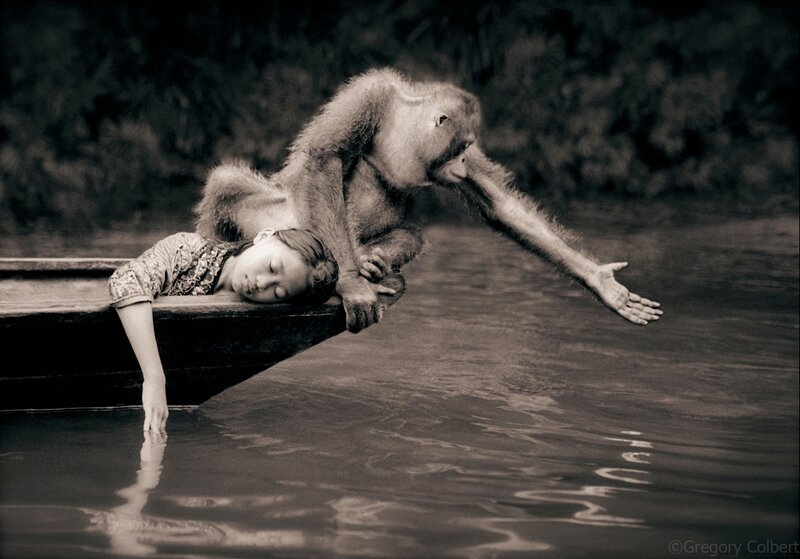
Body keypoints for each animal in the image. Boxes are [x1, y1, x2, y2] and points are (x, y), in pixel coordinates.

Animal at [195, 68, 662, 332]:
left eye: (465, 151)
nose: (460, 164)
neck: (402, 122)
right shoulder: (369, 94)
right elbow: (325, 157)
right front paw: (352, 284)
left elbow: (499, 204)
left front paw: (601, 282)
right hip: (277, 217)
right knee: (225, 182)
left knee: (413, 234)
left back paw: (375, 259)